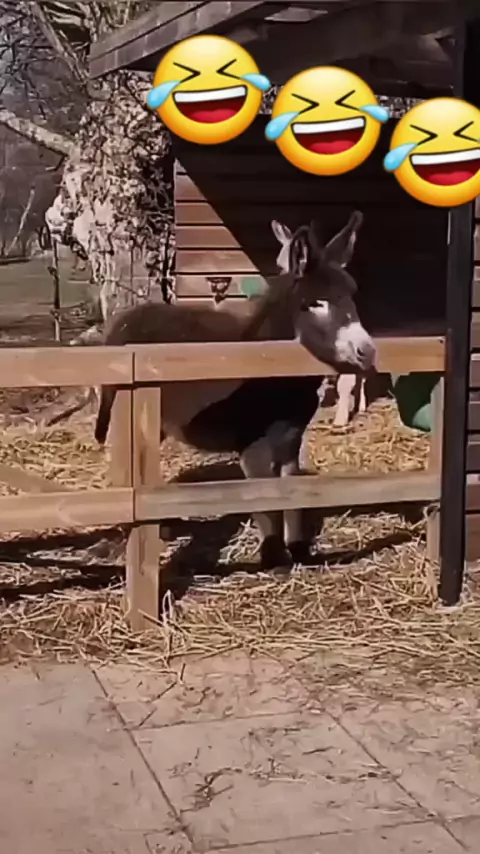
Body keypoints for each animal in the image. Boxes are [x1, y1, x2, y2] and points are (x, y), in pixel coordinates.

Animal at [94, 214, 375, 570]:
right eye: (315, 304)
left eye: (352, 297)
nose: (367, 351)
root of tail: (124, 320)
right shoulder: (252, 445)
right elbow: (266, 502)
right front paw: (274, 558)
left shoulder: (291, 437)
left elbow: (292, 494)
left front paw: (299, 551)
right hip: (123, 408)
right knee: (121, 465)